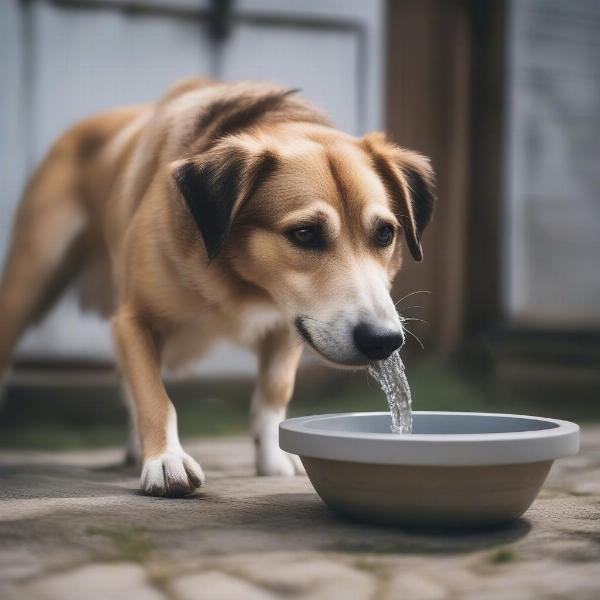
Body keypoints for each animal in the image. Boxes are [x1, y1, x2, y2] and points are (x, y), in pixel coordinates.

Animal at [0, 76, 434, 496]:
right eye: (304, 234)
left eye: (385, 233)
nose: (383, 340)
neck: (238, 278)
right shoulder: (132, 321)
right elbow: (155, 396)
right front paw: (165, 460)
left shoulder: (287, 326)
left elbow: (274, 391)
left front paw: (272, 459)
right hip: (27, 287)